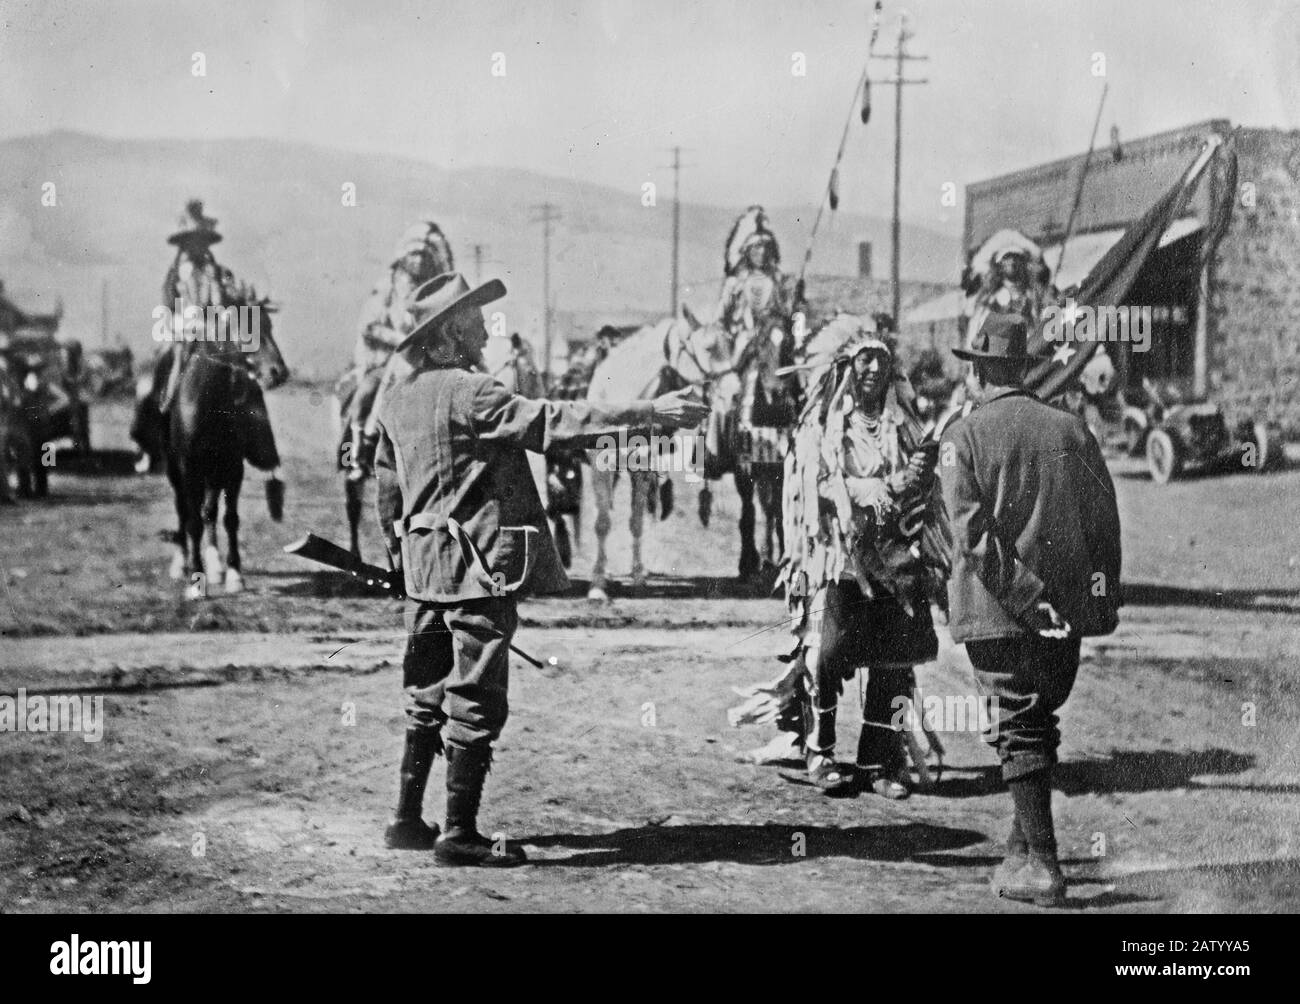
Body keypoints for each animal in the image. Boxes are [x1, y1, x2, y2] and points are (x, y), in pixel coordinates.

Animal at [162, 297, 287, 595]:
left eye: (270, 325)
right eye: (247, 329)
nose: (278, 372)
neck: (209, 401)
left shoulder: (232, 467)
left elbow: (229, 518)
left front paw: (233, 574)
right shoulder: (189, 467)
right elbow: (192, 521)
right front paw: (196, 581)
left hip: (214, 471)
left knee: (209, 511)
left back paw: (215, 565)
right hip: (177, 470)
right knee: (184, 510)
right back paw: (181, 563)